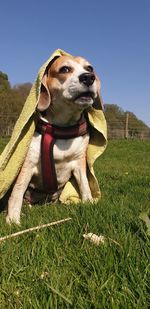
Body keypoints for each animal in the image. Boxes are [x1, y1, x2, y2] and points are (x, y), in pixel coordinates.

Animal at [6, 55, 101, 223]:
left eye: (89, 68)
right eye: (65, 69)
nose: (89, 77)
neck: (62, 128)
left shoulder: (79, 162)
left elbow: (85, 185)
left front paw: (89, 203)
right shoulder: (27, 165)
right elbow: (17, 192)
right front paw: (13, 220)